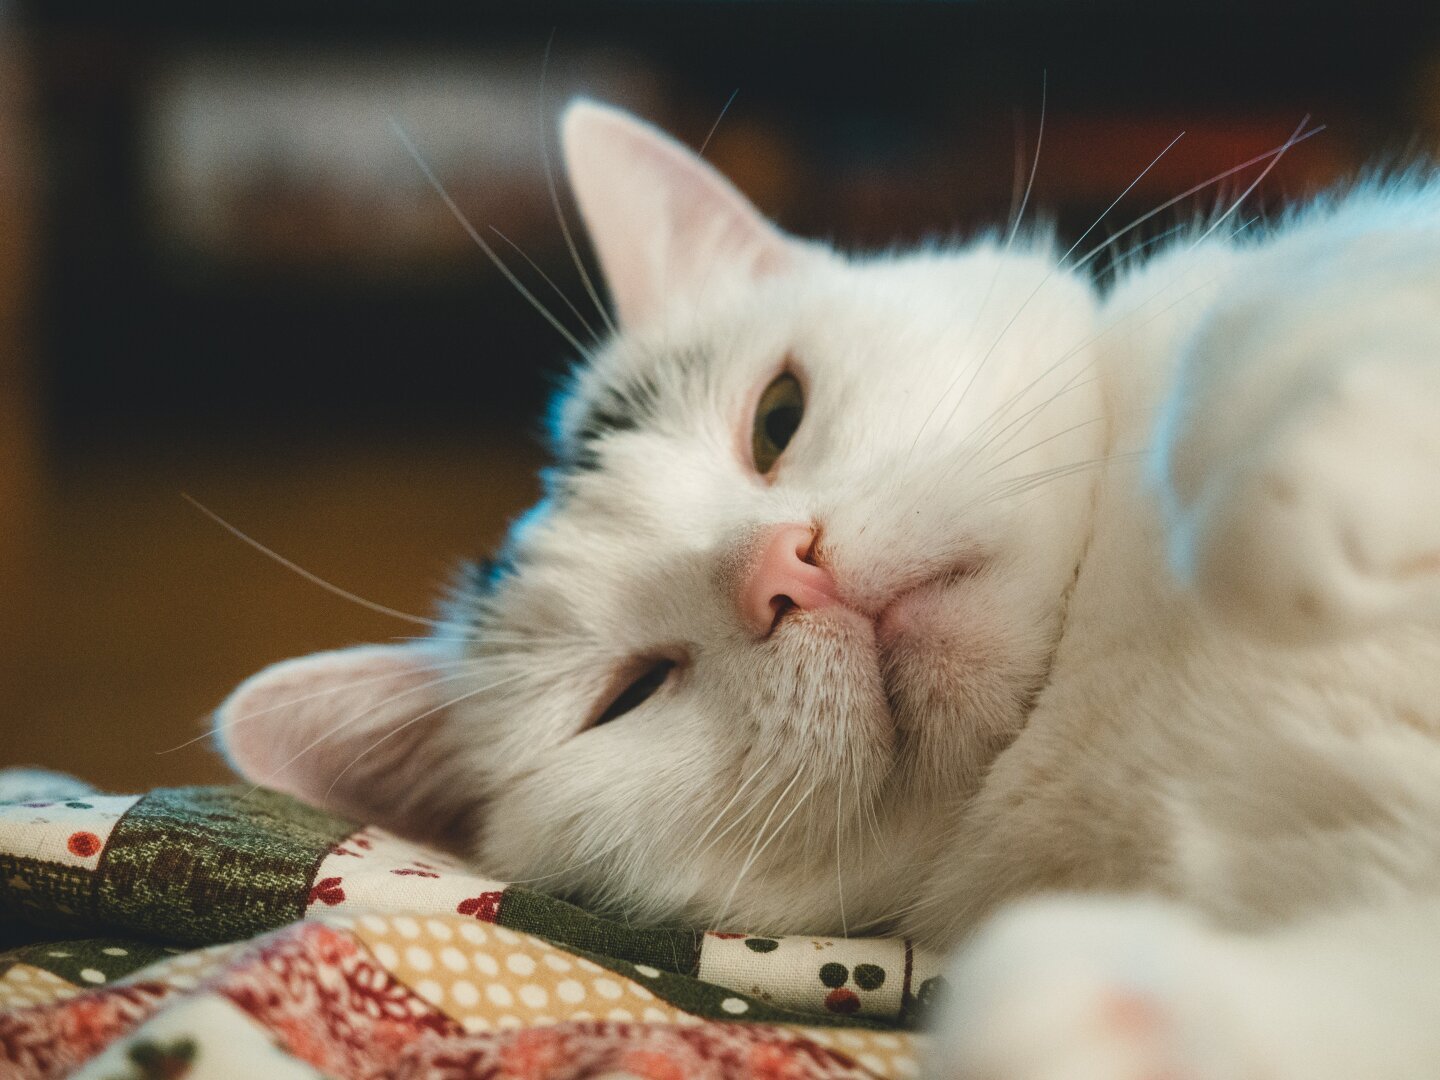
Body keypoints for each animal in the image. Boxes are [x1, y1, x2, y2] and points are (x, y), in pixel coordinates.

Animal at [210, 99, 1440, 1077]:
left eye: (776, 418)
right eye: (628, 694)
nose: (780, 573)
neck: (1084, 686)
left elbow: (1250, 340)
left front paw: (1279, 512)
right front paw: (1094, 1013)